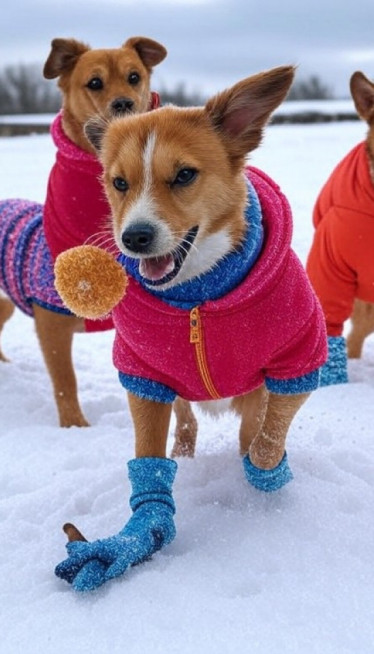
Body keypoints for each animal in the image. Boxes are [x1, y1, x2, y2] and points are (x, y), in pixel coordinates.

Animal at [0, 34, 197, 436]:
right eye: (94, 83)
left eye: (135, 77)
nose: (123, 104)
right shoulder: (51, 323)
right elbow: (65, 382)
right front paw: (75, 427)